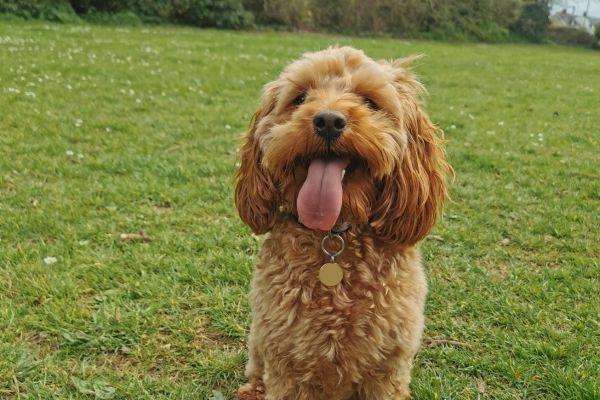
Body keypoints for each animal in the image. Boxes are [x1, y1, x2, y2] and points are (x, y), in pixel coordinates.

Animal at [234, 45, 450, 398]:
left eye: (369, 102)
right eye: (300, 98)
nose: (328, 121)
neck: (334, 235)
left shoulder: (388, 366)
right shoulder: (287, 363)